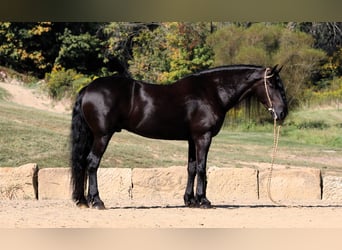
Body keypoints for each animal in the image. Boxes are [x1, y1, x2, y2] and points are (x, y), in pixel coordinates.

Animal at [71, 64, 288, 209]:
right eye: (272, 84)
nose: (282, 112)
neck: (211, 92)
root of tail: (88, 89)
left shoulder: (192, 139)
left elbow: (191, 168)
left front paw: (190, 200)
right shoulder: (203, 137)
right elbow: (201, 168)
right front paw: (204, 201)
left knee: (84, 163)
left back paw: (83, 200)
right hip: (102, 136)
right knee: (92, 163)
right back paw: (97, 201)